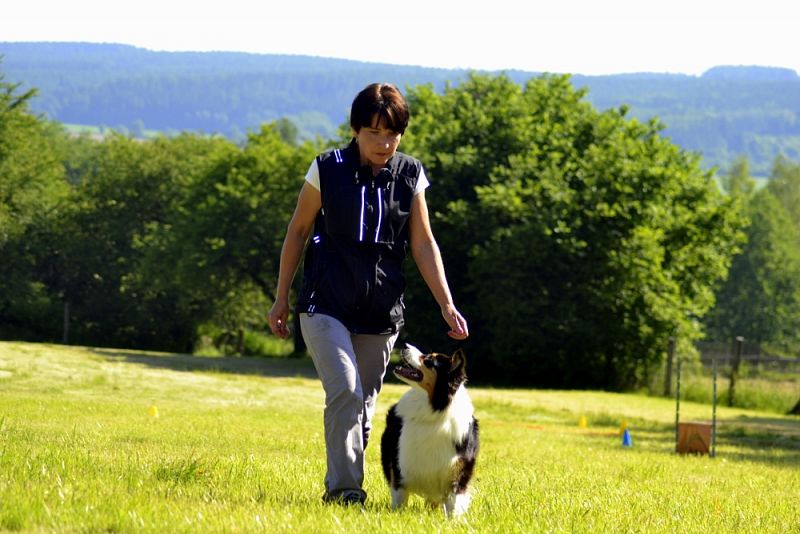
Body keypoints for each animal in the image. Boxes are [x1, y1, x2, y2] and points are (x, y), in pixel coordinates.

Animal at [378, 346, 478, 516]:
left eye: (429, 360)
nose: (405, 346)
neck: (434, 412)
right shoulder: (400, 466)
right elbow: (399, 499)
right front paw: (398, 515)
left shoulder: (458, 472)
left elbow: (453, 506)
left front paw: (453, 520)